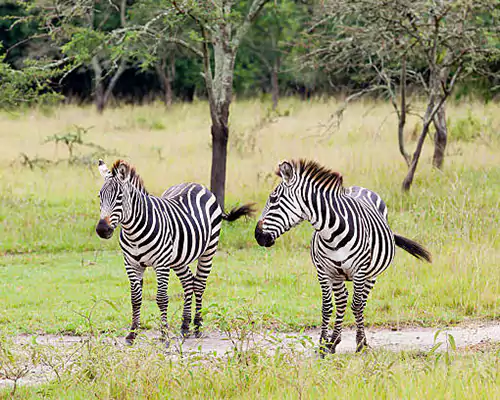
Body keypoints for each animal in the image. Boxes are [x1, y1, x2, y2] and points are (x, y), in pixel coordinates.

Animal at [96, 159, 256, 344]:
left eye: (120, 197)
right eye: (100, 197)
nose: (102, 229)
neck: (133, 232)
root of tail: (196, 184)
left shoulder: (161, 264)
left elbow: (161, 299)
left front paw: (164, 335)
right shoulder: (131, 264)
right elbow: (135, 298)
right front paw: (132, 334)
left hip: (208, 250)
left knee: (199, 284)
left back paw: (197, 327)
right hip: (179, 258)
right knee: (188, 281)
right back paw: (185, 326)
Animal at [256, 159, 432, 354]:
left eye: (273, 199)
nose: (257, 236)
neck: (330, 232)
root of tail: (358, 187)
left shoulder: (360, 271)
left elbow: (356, 305)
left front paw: (360, 344)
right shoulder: (323, 271)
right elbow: (327, 306)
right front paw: (323, 345)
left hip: (371, 274)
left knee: (361, 302)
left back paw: (357, 341)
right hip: (338, 275)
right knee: (341, 301)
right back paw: (334, 341)